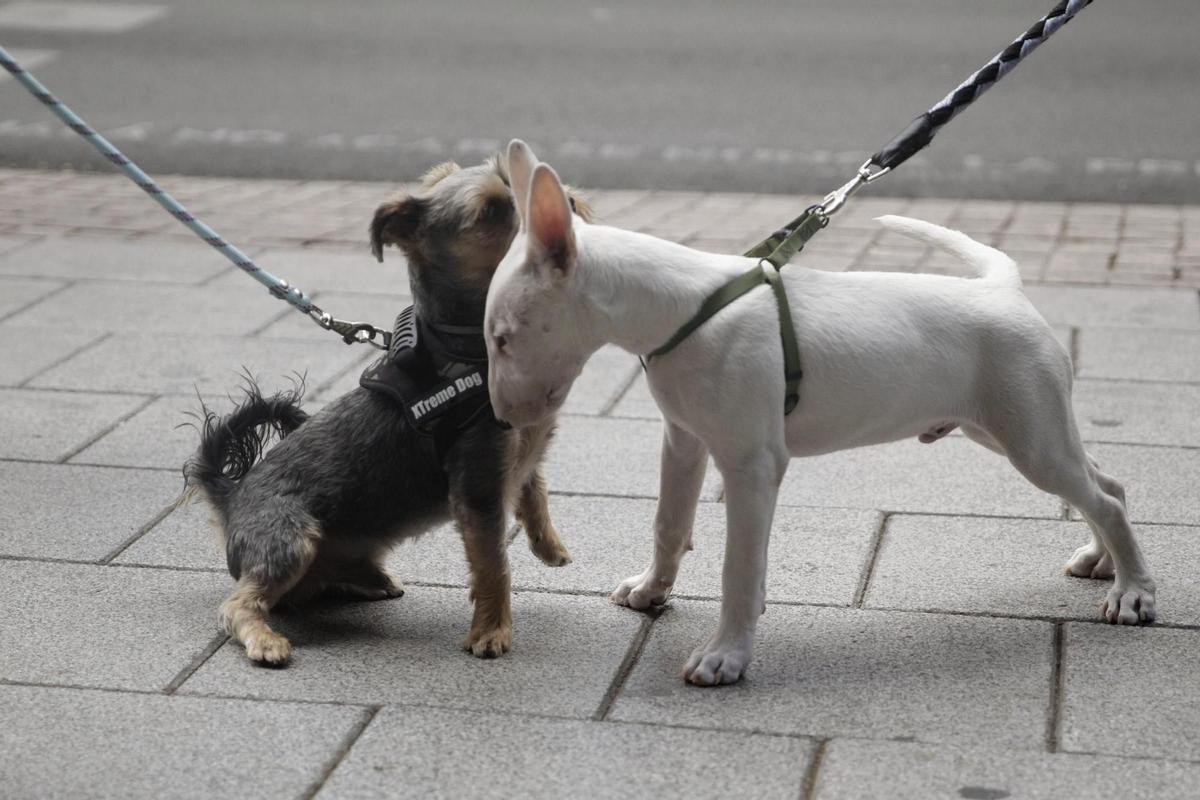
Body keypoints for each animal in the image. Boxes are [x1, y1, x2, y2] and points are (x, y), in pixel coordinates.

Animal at [482, 139, 1156, 690]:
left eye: (504, 338)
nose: (503, 420)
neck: (682, 309)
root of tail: (1004, 287)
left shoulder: (752, 465)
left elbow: (739, 567)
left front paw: (725, 657)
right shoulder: (683, 440)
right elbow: (669, 525)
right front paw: (650, 593)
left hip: (1028, 435)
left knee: (1105, 497)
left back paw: (1133, 594)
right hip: (1006, 426)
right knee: (1105, 480)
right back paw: (1100, 562)